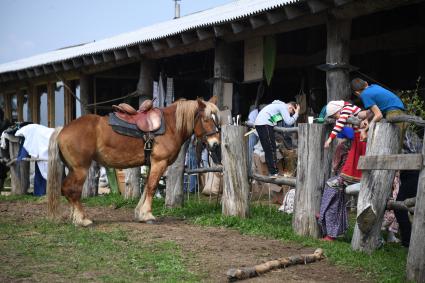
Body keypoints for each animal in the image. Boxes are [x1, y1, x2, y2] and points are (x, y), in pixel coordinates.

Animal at [48, 97, 220, 226]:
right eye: (206, 119)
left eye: (216, 119)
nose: (215, 144)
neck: (170, 126)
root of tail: (63, 130)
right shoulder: (159, 163)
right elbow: (151, 187)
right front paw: (147, 215)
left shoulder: (152, 165)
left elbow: (146, 188)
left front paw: (140, 214)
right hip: (80, 169)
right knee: (72, 190)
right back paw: (82, 219)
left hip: (73, 169)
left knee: (66, 190)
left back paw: (75, 217)